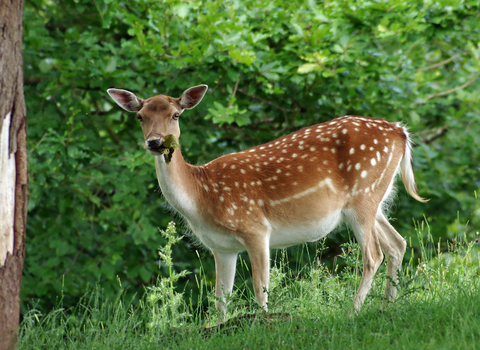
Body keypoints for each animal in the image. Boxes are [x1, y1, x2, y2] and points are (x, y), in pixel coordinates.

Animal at [107, 85, 426, 314]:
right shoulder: (221, 247)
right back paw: (387, 306)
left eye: (175, 114)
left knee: (374, 254)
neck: (202, 198)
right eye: (140, 116)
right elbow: (220, 298)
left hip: (363, 195)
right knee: (397, 243)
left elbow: (260, 289)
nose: (155, 142)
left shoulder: (256, 228)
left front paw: (263, 323)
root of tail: (401, 132)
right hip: (373, 200)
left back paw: (353, 312)